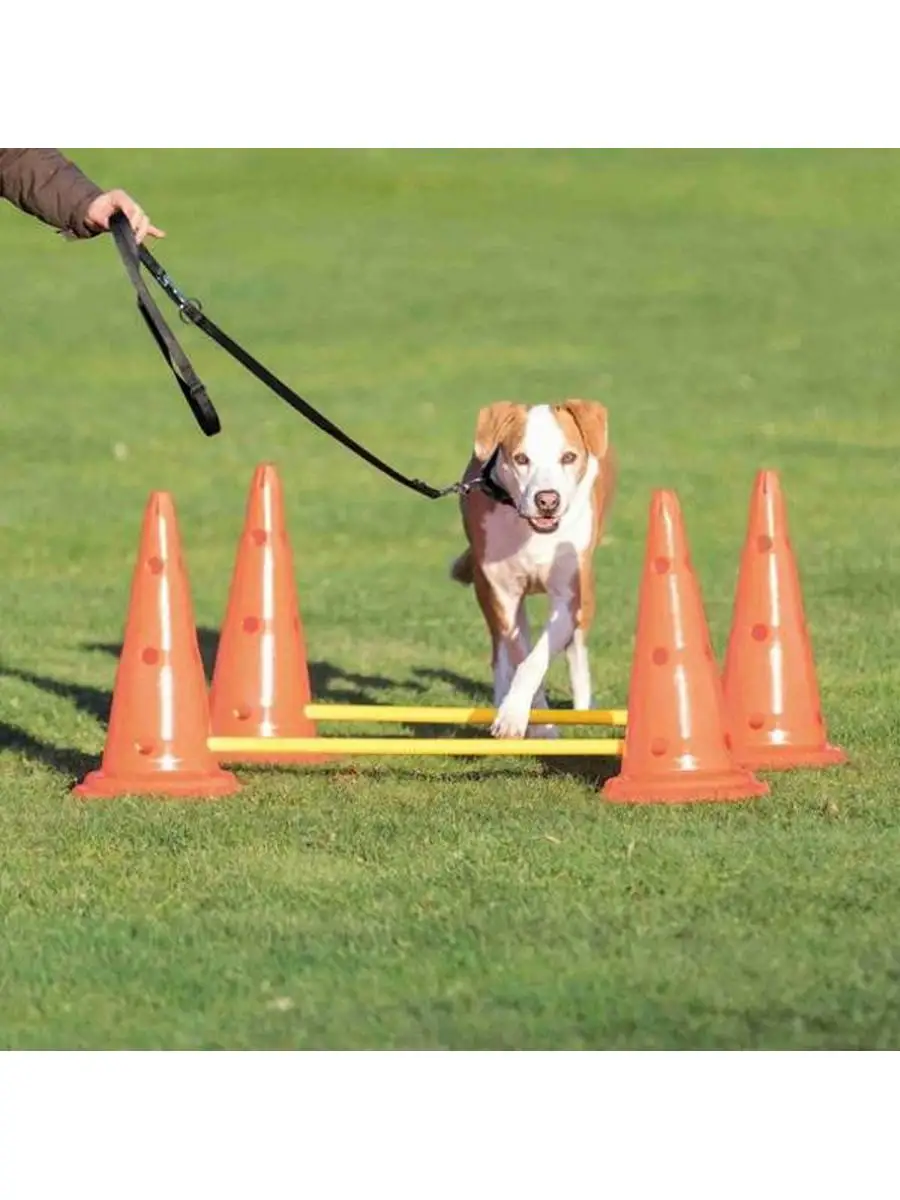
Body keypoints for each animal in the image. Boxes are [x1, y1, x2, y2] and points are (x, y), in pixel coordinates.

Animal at [448, 400, 614, 739]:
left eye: (568, 457)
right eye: (521, 459)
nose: (547, 500)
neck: (532, 532)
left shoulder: (567, 595)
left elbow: (537, 659)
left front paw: (522, 717)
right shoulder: (503, 593)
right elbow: (520, 655)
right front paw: (531, 722)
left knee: (576, 645)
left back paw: (583, 708)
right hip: (487, 591)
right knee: (500, 647)